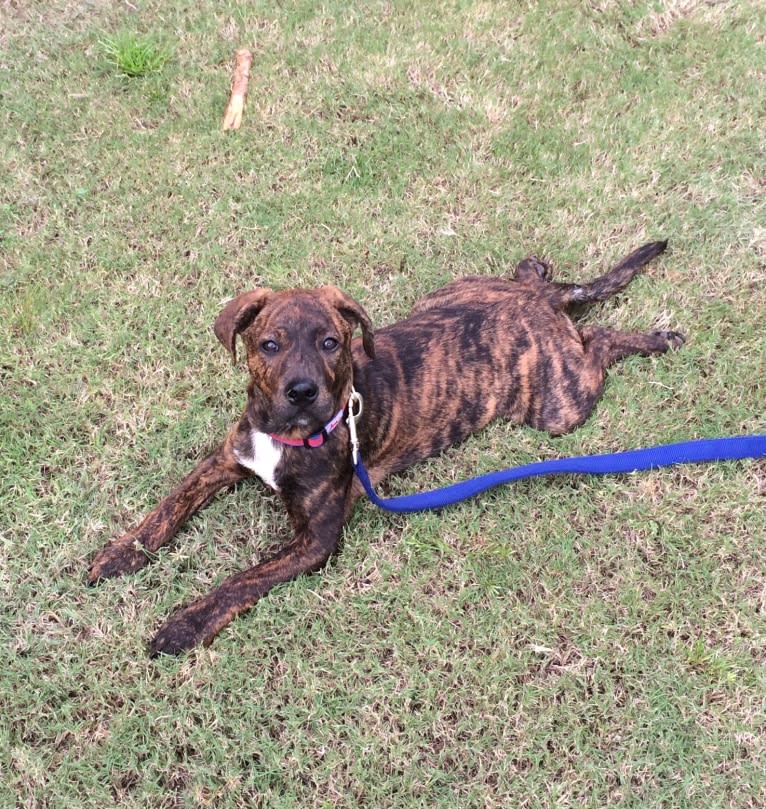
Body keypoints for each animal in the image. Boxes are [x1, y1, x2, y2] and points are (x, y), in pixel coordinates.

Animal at [88, 237, 684, 652]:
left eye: (331, 343)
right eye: (269, 345)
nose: (301, 392)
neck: (289, 434)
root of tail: (534, 302)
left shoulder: (315, 540)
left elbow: (240, 581)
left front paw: (185, 623)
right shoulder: (224, 460)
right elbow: (168, 506)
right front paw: (120, 553)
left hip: (560, 406)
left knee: (598, 338)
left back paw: (655, 338)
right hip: (450, 293)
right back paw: (536, 270)